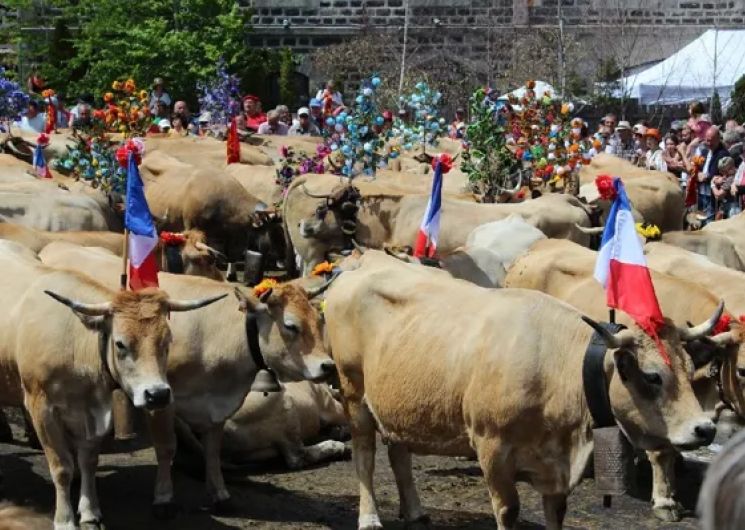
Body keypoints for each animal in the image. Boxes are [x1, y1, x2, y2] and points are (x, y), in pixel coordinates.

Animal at [0, 240, 224, 528]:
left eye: (167, 342)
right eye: (120, 344)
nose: (157, 395)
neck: (76, 340)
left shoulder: (95, 408)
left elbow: (88, 460)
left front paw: (89, 511)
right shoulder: (42, 407)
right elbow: (61, 467)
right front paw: (64, 519)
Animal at [37, 241, 334, 512]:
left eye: (319, 319)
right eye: (290, 325)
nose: (328, 366)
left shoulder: (217, 404)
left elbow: (213, 450)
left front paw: (219, 492)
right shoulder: (159, 398)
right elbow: (166, 446)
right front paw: (164, 495)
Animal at [324, 250, 720, 528]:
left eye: (690, 370)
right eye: (653, 376)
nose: (705, 428)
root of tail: (364, 261)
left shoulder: (556, 468)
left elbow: (556, 512)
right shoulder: (492, 448)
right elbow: (508, 511)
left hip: (396, 399)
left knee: (398, 450)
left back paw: (415, 511)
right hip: (353, 391)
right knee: (364, 453)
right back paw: (369, 517)